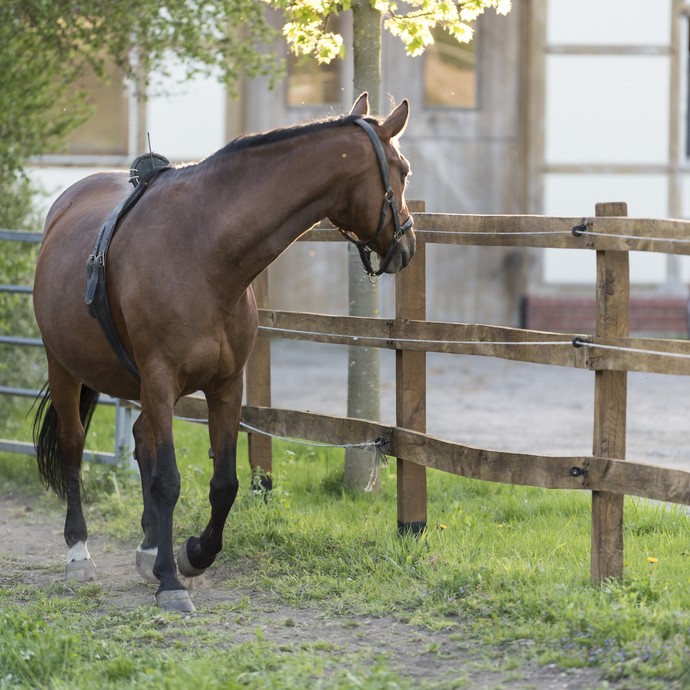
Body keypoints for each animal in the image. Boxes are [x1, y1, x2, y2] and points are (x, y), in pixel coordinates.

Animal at [32, 92, 412, 608]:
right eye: (404, 170)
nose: (407, 246)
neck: (204, 250)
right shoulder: (160, 379)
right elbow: (168, 480)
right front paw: (172, 582)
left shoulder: (227, 385)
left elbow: (224, 484)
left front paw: (192, 555)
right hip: (66, 369)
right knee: (74, 448)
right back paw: (80, 555)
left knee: (142, 441)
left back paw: (149, 550)